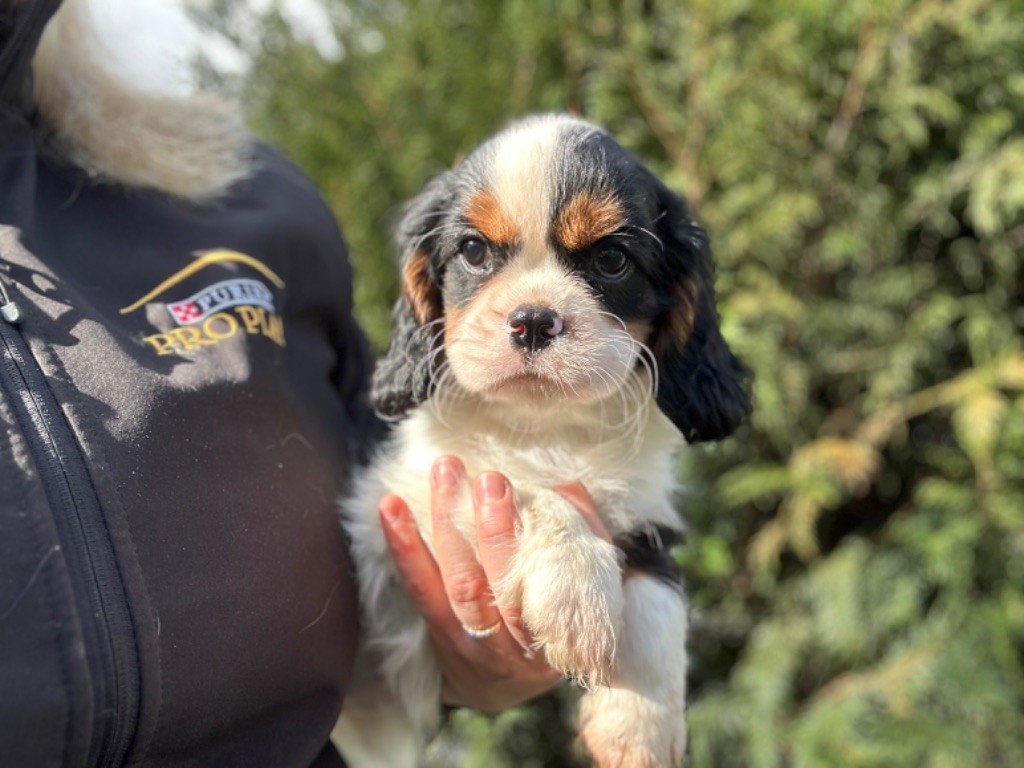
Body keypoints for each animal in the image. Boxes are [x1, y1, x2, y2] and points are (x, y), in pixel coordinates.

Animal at [335, 114, 749, 767]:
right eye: (474, 251)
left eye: (611, 259)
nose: (532, 319)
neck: (545, 426)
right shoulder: (396, 507)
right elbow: (518, 483)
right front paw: (577, 588)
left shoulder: (646, 511)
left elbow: (659, 592)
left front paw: (640, 725)